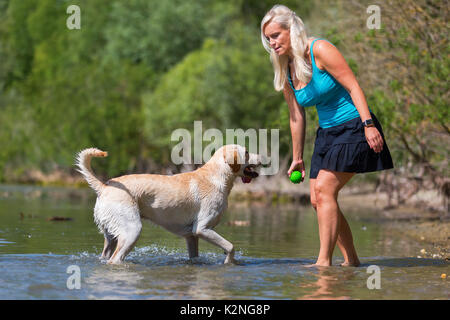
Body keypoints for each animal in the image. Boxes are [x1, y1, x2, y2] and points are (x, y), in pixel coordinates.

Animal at [76, 146, 260, 264]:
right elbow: (230, 246)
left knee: (106, 255)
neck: (216, 176)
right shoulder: (202, 229)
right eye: (247, 152)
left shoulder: (191, 237)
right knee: (115, 260)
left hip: (112, 236)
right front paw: (229, 262)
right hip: (132, 230)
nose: (263, 157)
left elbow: (195, 256)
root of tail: (104, 186)